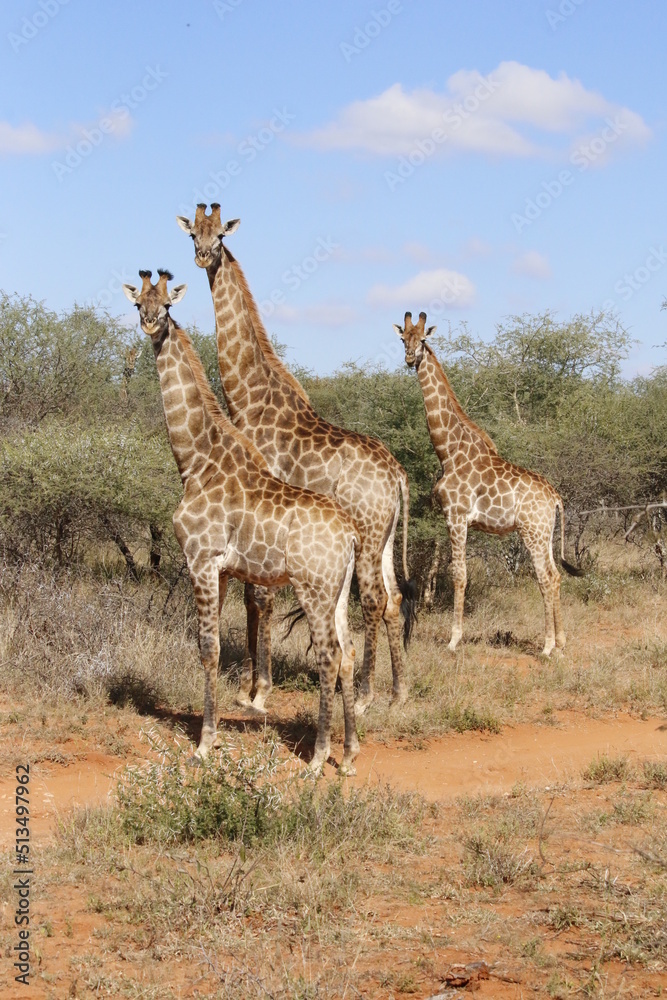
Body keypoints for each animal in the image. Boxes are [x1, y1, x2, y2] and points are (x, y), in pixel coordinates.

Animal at [122, 269, 361, 773]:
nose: (151, 323)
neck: (195, 461)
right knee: (348, 652)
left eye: (166, 305)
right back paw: (350, 753)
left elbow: (208, 649)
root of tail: (351, 534)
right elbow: (210, 648)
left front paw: (204, 742)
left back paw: (319, 756)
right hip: (338, 592)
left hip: (312, 588)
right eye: (137, 303)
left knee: (329, 655)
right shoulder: (224, 570)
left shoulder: (201, 559)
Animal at [177, 204, 417, 716]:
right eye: (192, 234)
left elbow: (258, 598)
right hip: (385, 537)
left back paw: (364, 695)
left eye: (219, 234)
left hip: (366, 535)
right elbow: (251, 596)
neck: (248, 396)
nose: (203, 255)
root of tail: (398, 476)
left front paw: (257, 690)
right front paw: (247, 685)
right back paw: (398, 690)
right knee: (392, 598)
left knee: (371, 600)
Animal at [394, 311, 582, 657]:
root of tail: (556, 497)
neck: (448, 450)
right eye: (403, 339)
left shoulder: (456, 516)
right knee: (556, 576)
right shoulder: (455, 519)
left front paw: (454, 640)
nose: (410, 357)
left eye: (423, 339)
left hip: (532, 533)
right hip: (545, 533)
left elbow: (458, 574)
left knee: (546, 577)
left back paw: (547, 646)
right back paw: (561, 642)